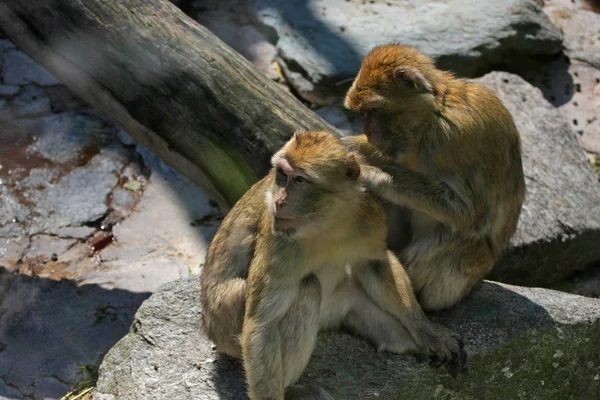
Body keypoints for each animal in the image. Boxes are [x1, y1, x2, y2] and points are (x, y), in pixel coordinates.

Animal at [202, 130, 468, 400]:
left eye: (300, 180)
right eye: (282, 174)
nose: (278, 201)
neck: (328, 220)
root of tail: (208, 324)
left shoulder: (370, 215)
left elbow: (375, 264)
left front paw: (428, 332)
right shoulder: (278, 238)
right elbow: (262, 324)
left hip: (334, 307)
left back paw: (407, 343)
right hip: (225, 322)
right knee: (307, 288)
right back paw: (291, 389)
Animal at [342, 43, 524, 312]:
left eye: (374, 110)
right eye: (363, 113)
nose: (369, 132)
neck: (432, 117)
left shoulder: (453, 138)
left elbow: (469, 213)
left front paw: (374, 174)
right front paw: (348, 145)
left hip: (467, 274)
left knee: (458, 240)